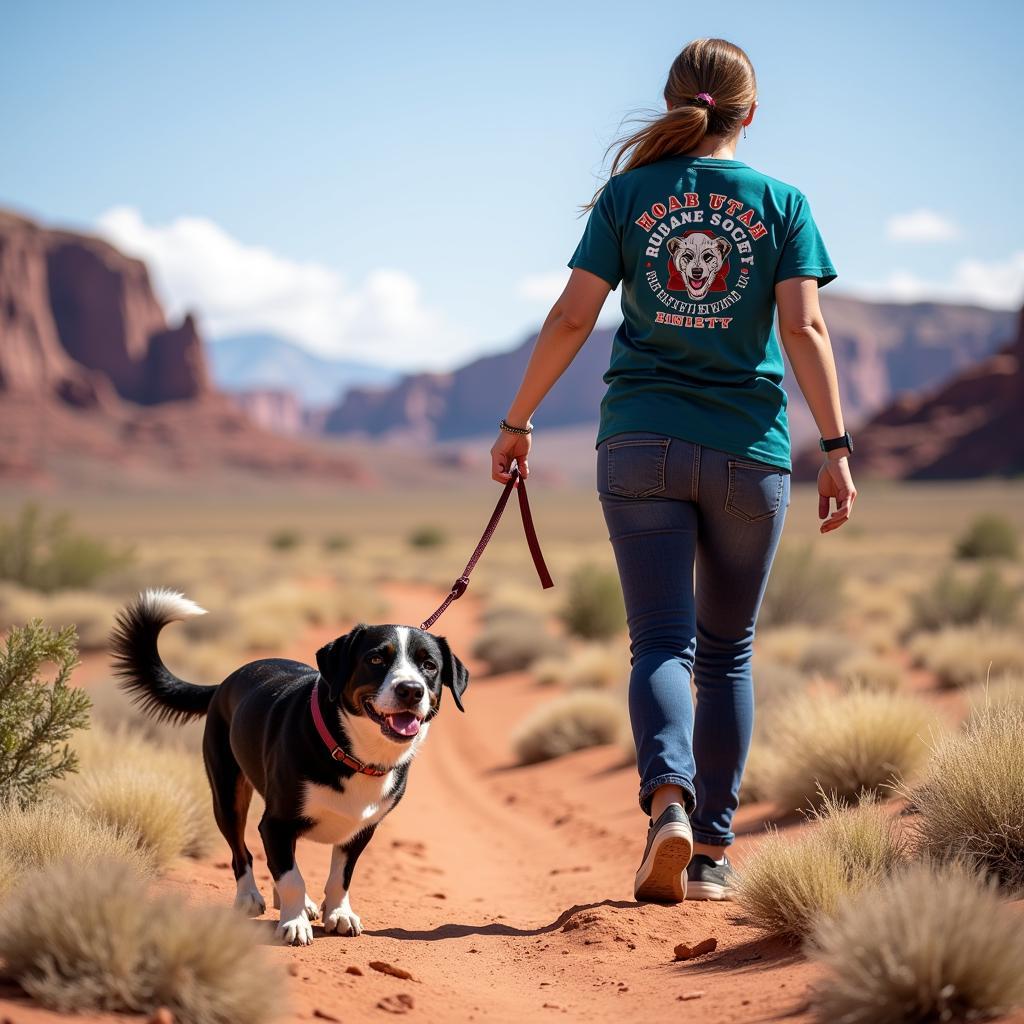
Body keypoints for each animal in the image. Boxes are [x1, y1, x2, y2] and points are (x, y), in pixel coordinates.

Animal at [110, 589, 468, 946]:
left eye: (429, 665)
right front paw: (295, 922)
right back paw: (249, 897)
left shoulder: (361, 829)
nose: (411, 690)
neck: (353, 753)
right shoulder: (276, 823)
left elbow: (340, 876)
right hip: (228, 795)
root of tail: (225, 682)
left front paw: (338, 914)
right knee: (242, 852)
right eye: (376, 659)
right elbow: (292, 877)